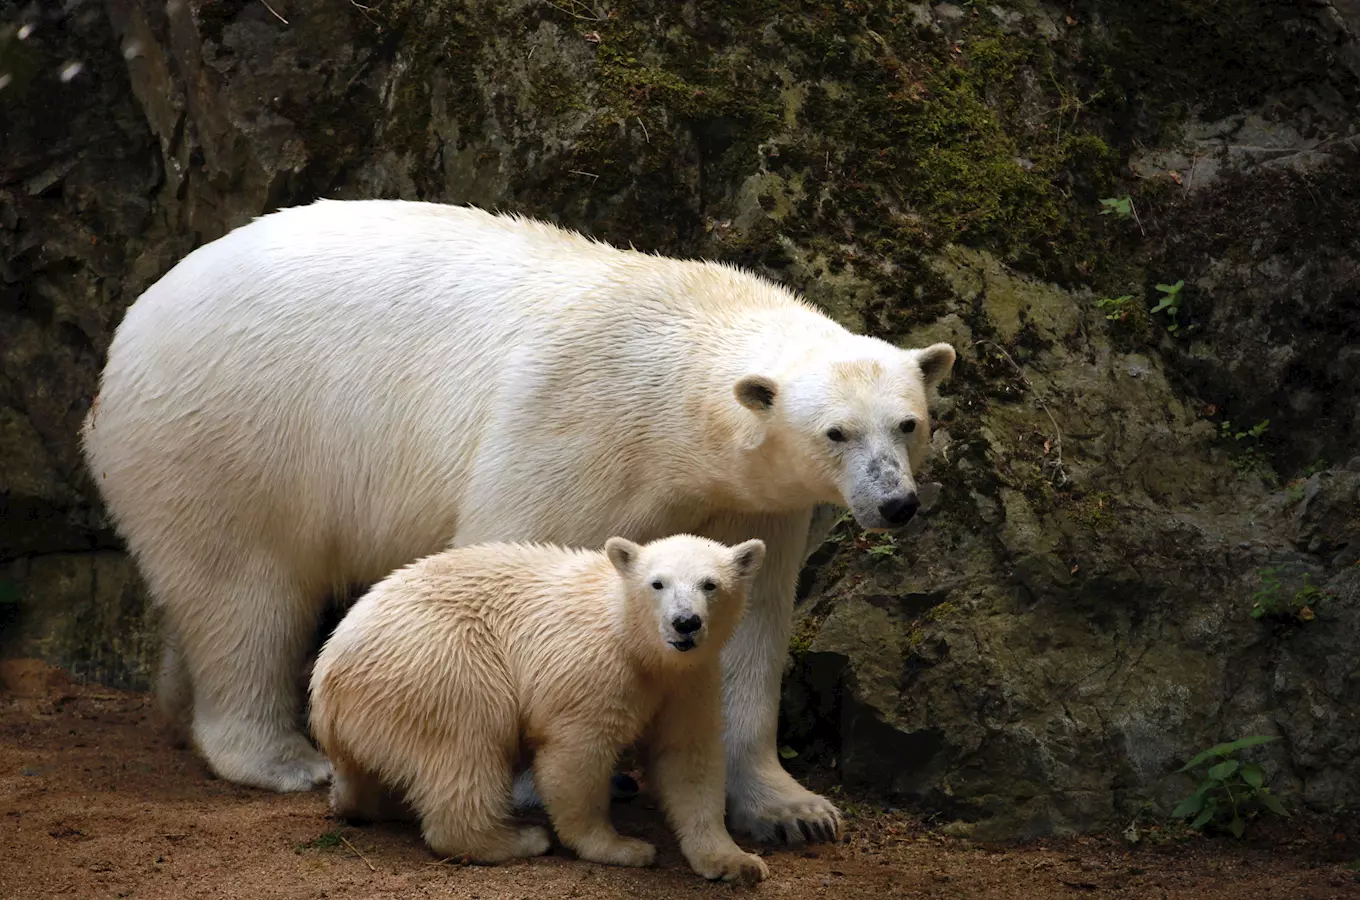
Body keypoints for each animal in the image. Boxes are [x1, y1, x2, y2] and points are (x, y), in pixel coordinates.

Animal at [82, 199, 957, 848]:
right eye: (836, 432)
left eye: (908, 423)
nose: (896, 503)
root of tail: (129, 333)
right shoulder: (578, 423)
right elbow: (515, 557)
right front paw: (546, 779)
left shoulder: (755, 501)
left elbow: (749, 627)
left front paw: (793, 810)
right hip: (231, 433)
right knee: (244, 594)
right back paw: (283, 757)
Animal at [311, 532, 767, 886]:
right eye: (657, 583)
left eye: (710, 584)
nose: (685, 622)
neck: (635, 640)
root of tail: (327, 672)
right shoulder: (595, 669)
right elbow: (576, 755)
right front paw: (624, 847)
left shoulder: (688, 682)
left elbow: (688, 760)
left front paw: (737, 862)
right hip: (439, 660)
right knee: (467, 744)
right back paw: (519, 838)